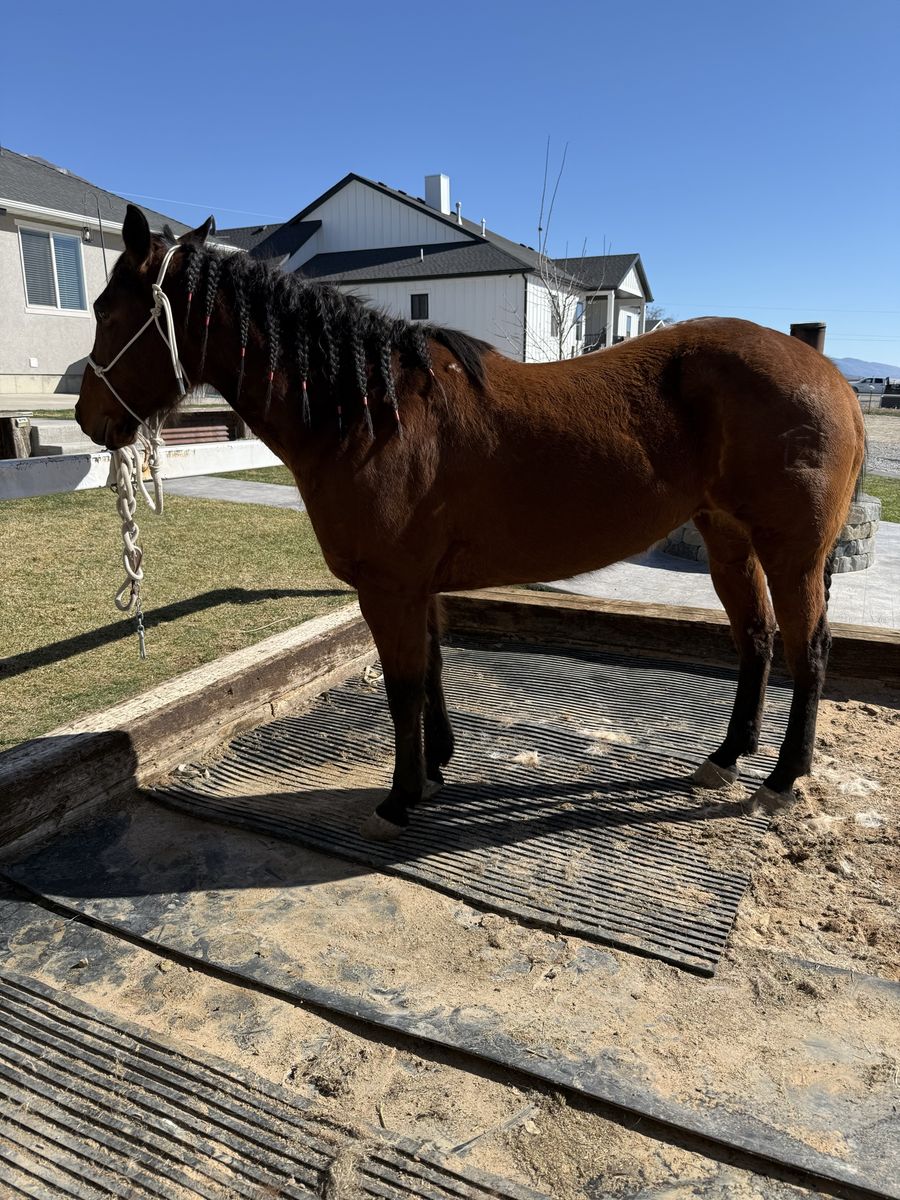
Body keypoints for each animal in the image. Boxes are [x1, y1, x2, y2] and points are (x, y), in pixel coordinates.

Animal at [76, 205, 865, 840]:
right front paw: (434, 771)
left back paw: (782, 779)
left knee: (810, 652)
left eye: (108, 312)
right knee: (756, 640)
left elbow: (402, 687)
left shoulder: (389, 587)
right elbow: (431, 672)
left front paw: (400, 798)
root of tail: (831, 376)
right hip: (728, 539)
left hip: (791, 553)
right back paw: (726, 758)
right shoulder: (417, 586)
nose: (88, 418)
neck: (374, 414)